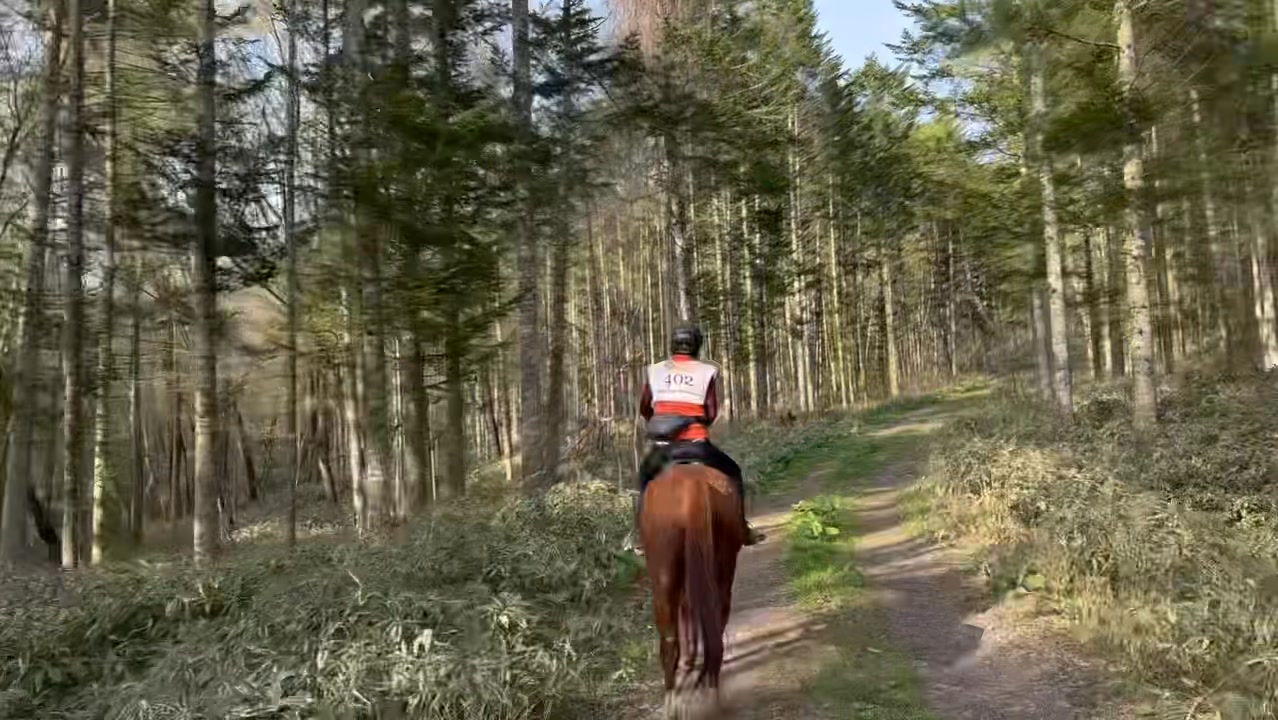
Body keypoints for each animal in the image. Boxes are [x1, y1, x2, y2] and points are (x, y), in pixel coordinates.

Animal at [639, 461, 747, 719]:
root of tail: (693, 486)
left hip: (667, 575)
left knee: (671, 635)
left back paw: (675, 700)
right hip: (720, 565)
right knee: (715, 618)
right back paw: (709, 690)